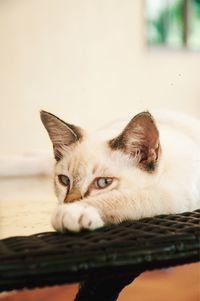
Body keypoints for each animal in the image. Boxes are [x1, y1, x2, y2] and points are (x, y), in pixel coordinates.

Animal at [39, 110, 200, 232]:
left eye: (103, 183)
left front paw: (71, 211)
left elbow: (124, 198)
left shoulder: (174, 195)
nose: (68, 203)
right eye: (64, 180)